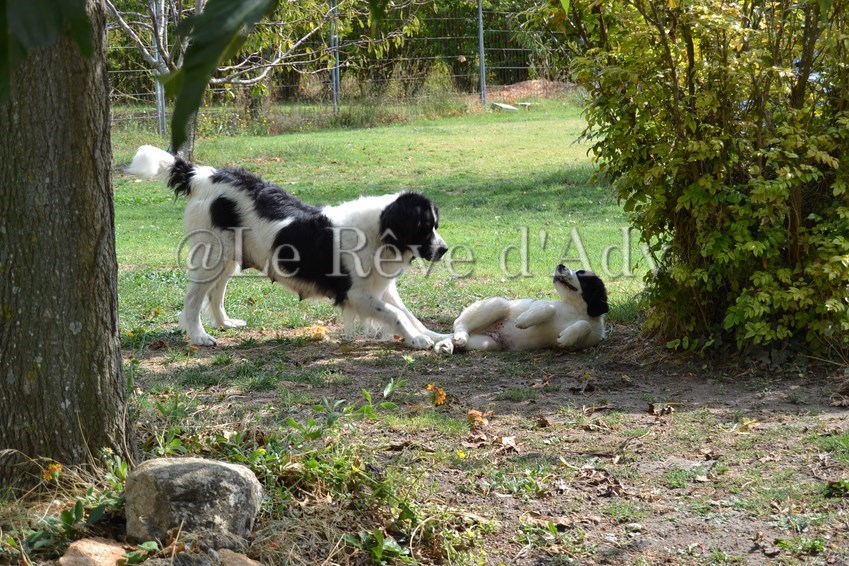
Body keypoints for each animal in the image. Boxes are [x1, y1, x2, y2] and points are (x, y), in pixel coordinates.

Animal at [126, 145, 449, 349]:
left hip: (230, 256)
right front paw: (417, 340)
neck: (379, 231)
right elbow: (396, 315)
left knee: (215, 292)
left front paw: (433, 336)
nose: (444, 249)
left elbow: (408, 314)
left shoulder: (381, 288)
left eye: (435, 224)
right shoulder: (355, 293)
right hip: (213, 254)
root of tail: (204, 175)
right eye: (424, 227)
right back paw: (198, 336)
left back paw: (225, 322)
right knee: (193, 298)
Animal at [434, 265, 608, 353]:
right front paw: (524, 321)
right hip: (499, 303)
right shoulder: (538, 304)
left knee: (455, 336)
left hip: (487, 342)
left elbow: (585, 325)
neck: (574, 309)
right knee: (459, 323)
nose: (561, 265)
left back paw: (446, 345)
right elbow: (549, 307)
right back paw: (459, 337)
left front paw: (566, 338)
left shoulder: (587, 340)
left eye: (581, 276)